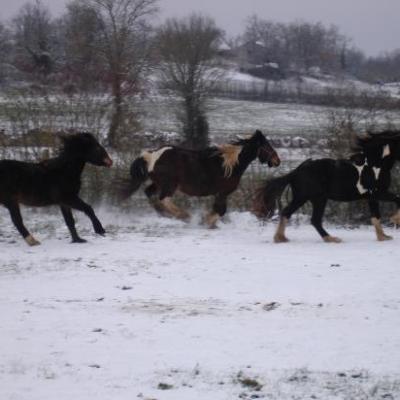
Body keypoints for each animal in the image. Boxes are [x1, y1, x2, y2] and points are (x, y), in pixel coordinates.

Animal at [122, 130, 282, 227]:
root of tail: (152, 155)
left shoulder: (219, 194)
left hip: (158, 183)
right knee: (164, 199)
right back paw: (184, 215)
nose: (277, 161)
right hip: (169, 185)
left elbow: (219, 210)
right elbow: (220, 210)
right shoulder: (223, 193)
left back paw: (164, 215)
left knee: (150, 194)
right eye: (267, 145)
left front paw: (207, 221)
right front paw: (206, 222)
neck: (229, 165)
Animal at [255, 131, 400, 242]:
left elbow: (376, 216)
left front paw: (383, 237)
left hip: (307, 198)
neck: (376, 164)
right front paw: (394, 220)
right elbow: (397, 199)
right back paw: (331, 239)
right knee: (312, 219)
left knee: (291, 214)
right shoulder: (377, 193)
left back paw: (281, 238)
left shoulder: (371, 197)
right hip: (314, 198)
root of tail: (296, 171)